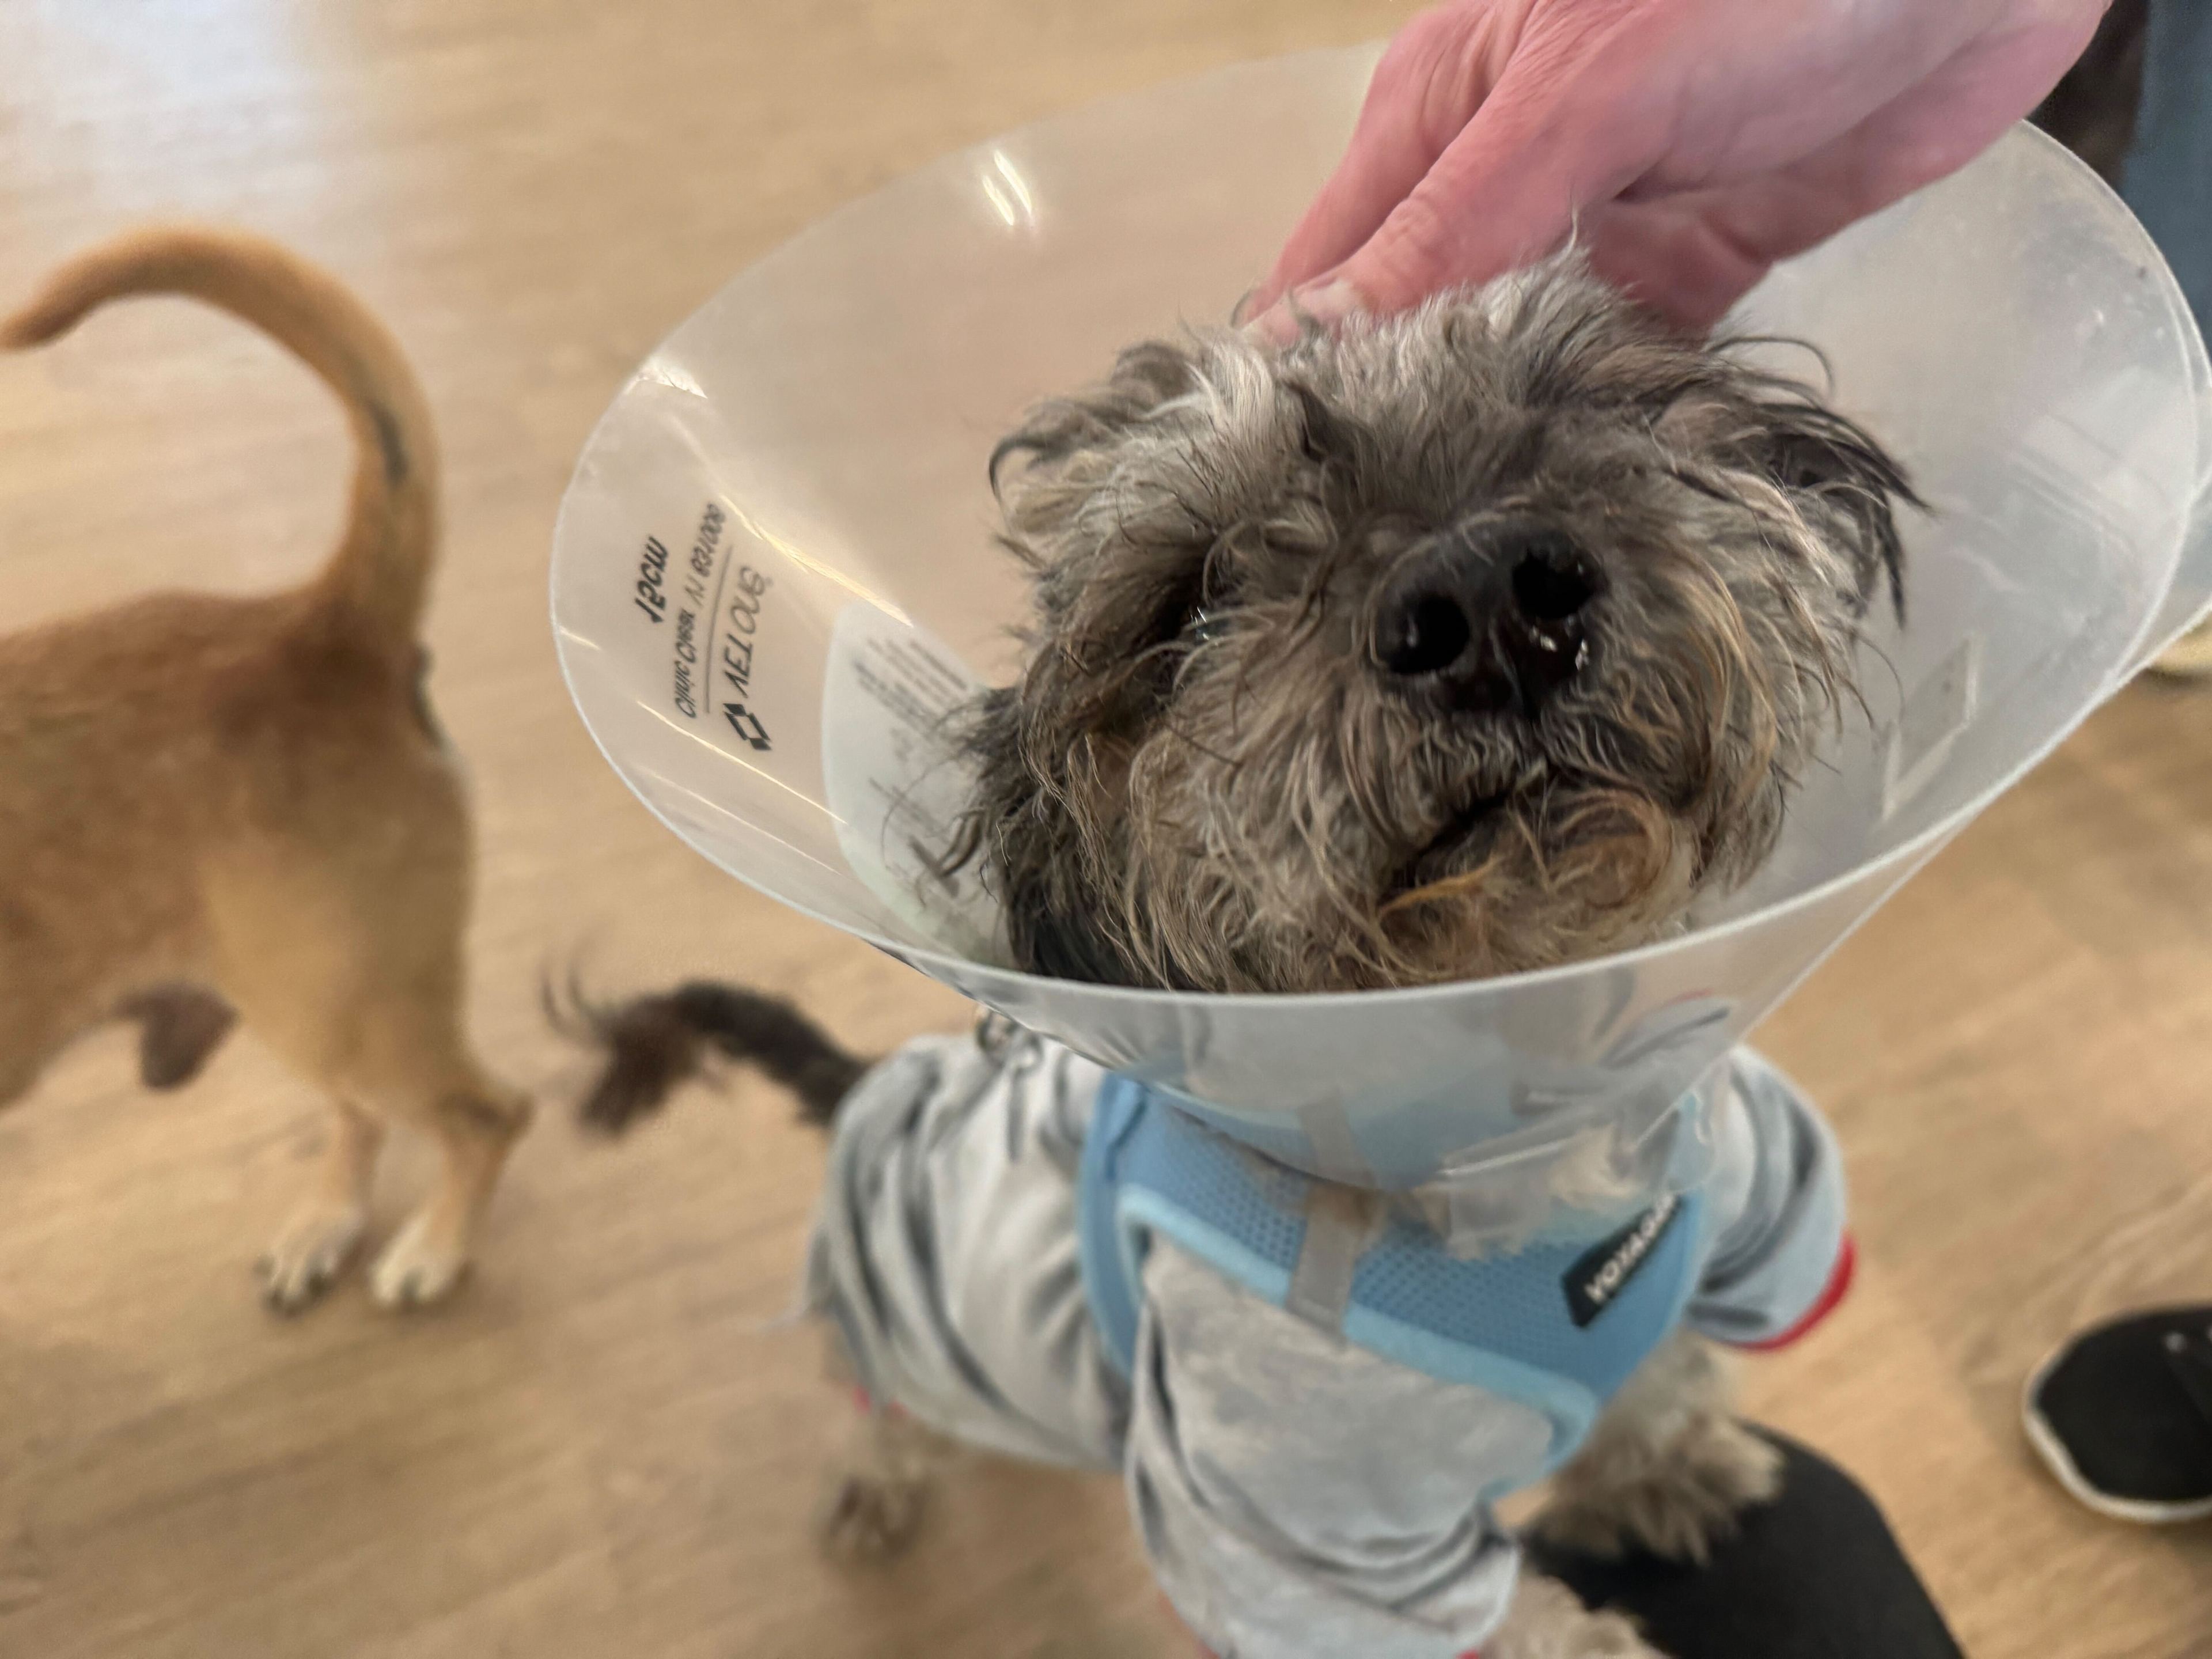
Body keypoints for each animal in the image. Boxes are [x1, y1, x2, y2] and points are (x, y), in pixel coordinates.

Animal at [0, 228, 526, 1309]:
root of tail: (316, 628)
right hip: (314, 1005)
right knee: (364, 1116)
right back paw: (324, 1226)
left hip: (341, 1011)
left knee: (489, 1114)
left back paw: (434, 1250)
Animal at [579, 249, 1911, 1659]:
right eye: (1196, 601)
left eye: (1571, 407)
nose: (1488, 589)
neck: (1516, 1155)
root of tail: (874, 1088)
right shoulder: (1304, 1529)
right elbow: (1501, 1632)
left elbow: (1665, 1367)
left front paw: (1673, 1470)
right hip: (889, 1311)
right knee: (875, 1406)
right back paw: (874, 1489)